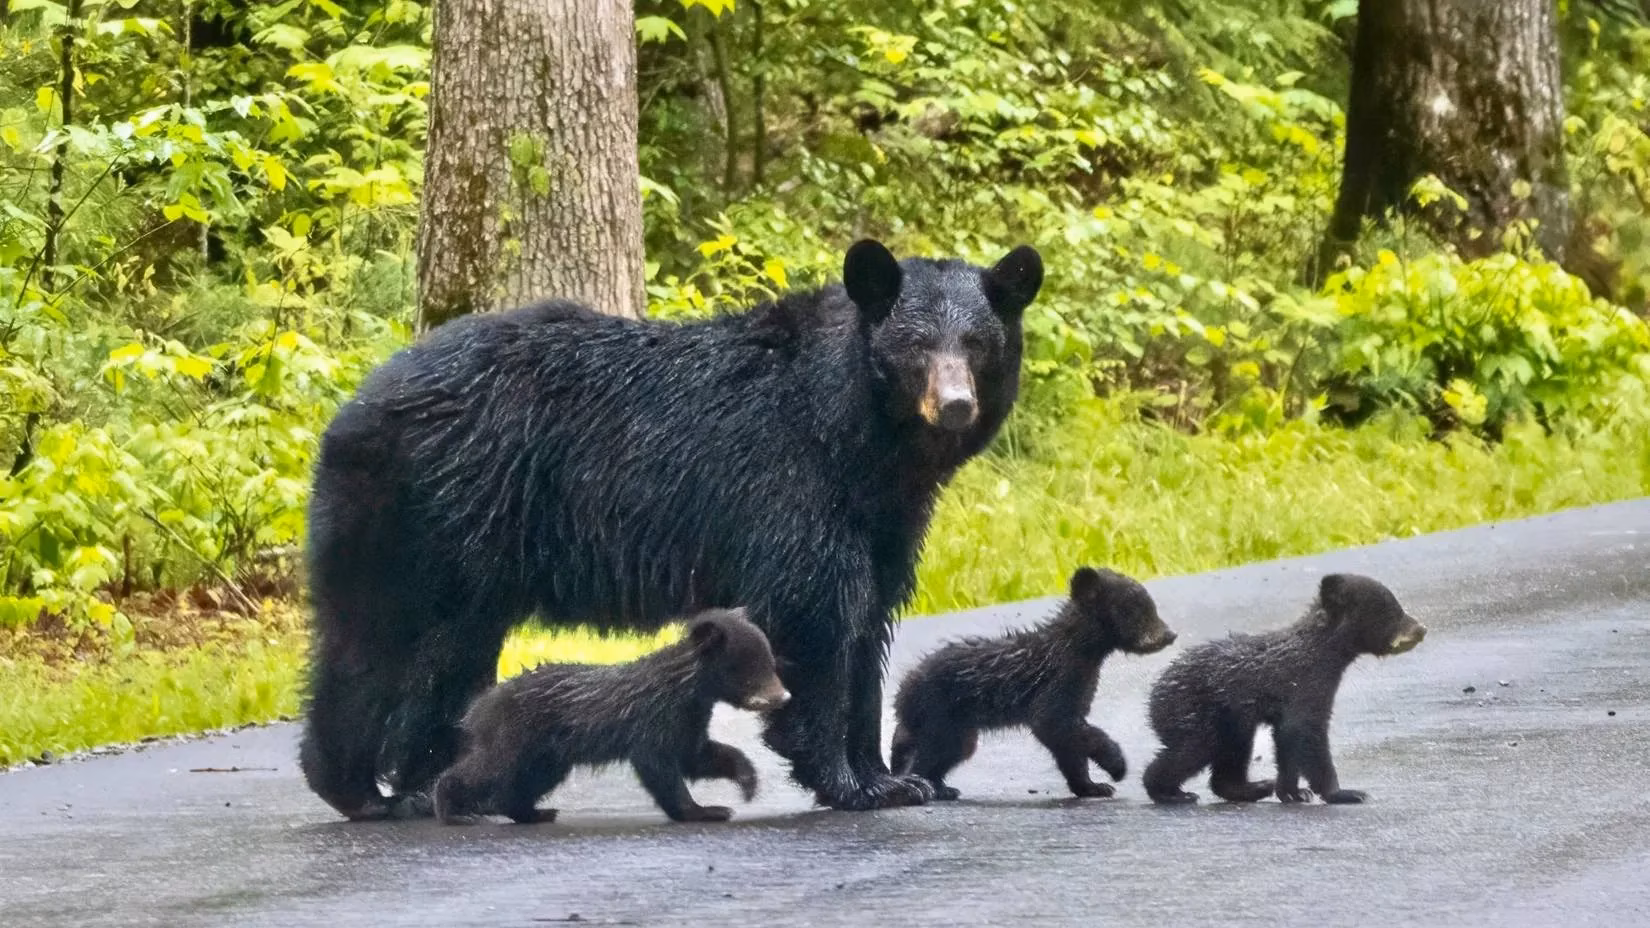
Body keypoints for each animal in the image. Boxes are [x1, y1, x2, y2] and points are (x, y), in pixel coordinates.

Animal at [433, 608, 789, 825]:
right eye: (751, 669)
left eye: (770, 662)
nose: (782, 697)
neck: (685, 688)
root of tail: (479, 707)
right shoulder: (655, 717)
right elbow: (658, 765)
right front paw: (704, 809)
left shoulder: (689, 718)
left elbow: (697, 756)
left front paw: (747, 781)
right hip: (517, 735)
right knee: (489, 769)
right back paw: (450, 806)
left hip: (548, 752)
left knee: (527, 781)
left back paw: (534, 812)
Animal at [889, 566, 1176, 801]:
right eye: (1137, 609)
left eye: (1149, 606)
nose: (1170, 635)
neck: (1081, 651)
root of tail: (902, 693)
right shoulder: (1059, 680)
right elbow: (1052, 722)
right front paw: (1116, 766)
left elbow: (1067, 742)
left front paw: (1091, 786)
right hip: (940, 712)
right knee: (934, 750)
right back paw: (926, 785)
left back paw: (941, 786)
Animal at [1142, 573, 1427, 805]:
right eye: (1392, 609)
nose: (1421, 629)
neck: (1322, 651)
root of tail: (1154, 695)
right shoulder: (1306, 682)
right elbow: (1304, 729)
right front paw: (1344, 793)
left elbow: (1287, 739)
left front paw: (1293, 792)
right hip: (1192, 711)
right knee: (1194, 748)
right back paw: (1169, 793)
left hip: (1229, 718)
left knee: (1232, 749)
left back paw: (1254, 787)